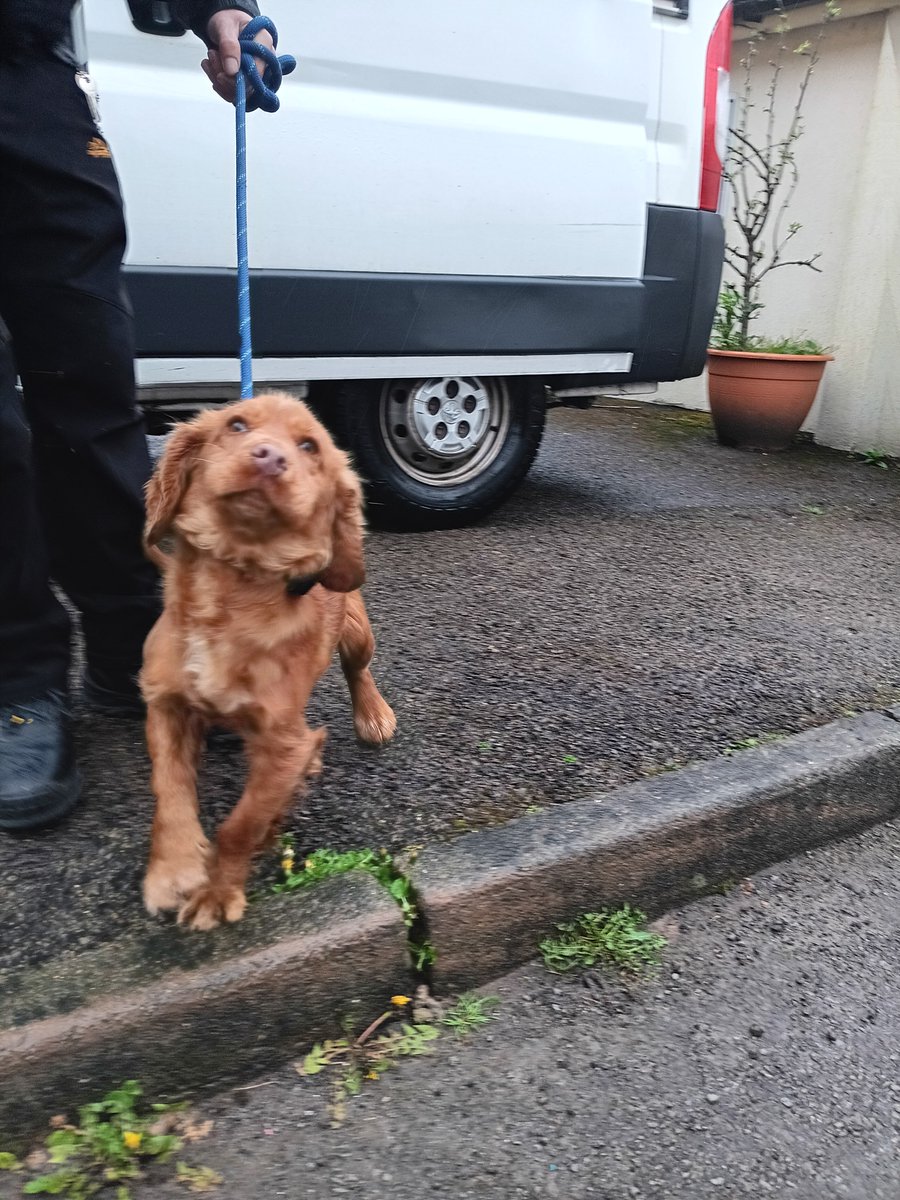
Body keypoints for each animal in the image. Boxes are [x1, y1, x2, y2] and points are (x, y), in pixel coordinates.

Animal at [140, 388, 393, 931]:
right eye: (236, 425)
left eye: (309, 446)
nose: (269, 458)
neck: (229, 595)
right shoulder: (166, 704)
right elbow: (169, 789)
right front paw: (173, 870)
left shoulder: (281, 739)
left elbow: (243, 822)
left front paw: (217, 893)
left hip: (356, 630)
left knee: (357, 669)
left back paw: (373, 715)